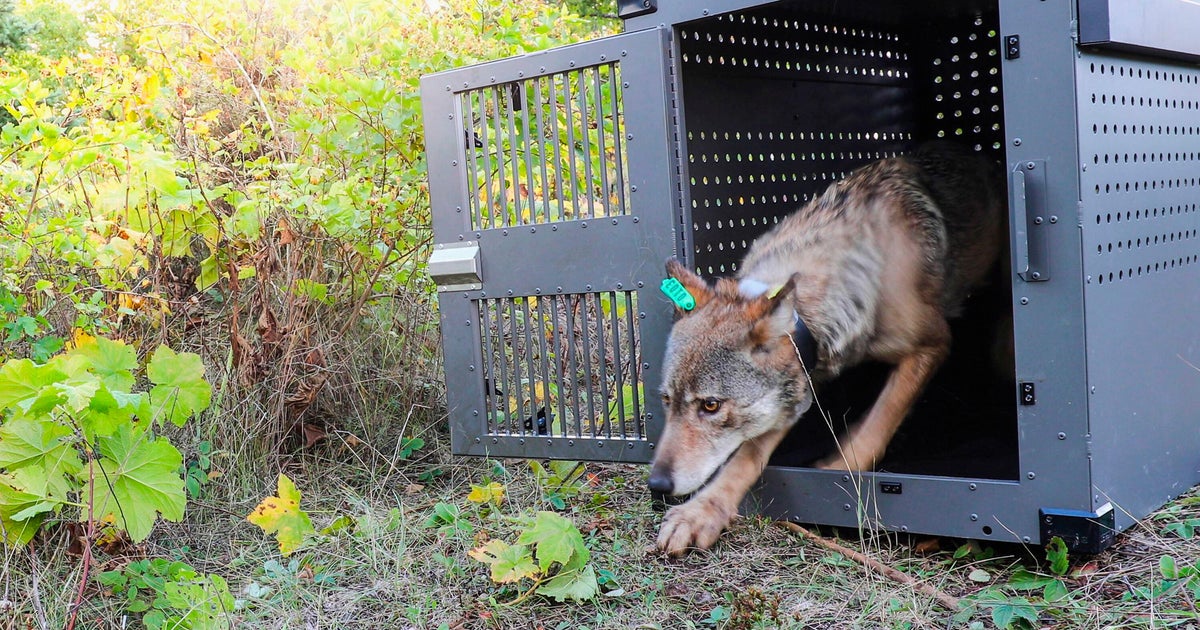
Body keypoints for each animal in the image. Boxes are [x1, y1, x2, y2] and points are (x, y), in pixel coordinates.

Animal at [649, 142, 1005, 556]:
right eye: (667, 401)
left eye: (710, 406)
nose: (656, 485)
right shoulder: (800, 382)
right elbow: (746, 456)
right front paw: (701, 512)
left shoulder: (933, 342)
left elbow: (880, 419)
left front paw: (838, 470)